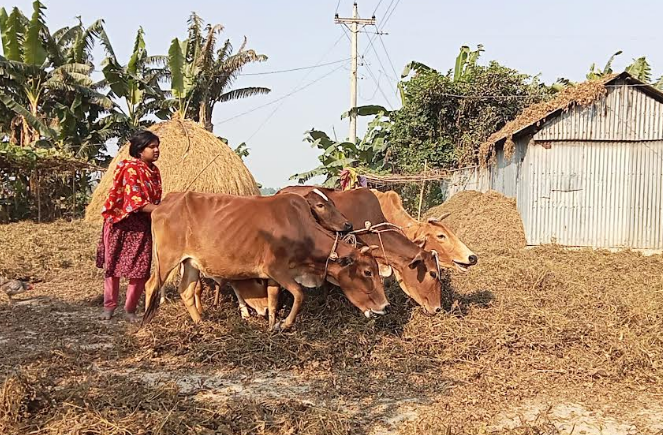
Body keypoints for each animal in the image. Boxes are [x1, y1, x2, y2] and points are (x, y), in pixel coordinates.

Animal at [141, 191, 390, 330]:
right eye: (368, 272)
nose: (384, 307)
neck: (301, 228)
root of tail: (165, 203)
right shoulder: (276, 269)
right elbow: (299, 294)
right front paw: (284, 324)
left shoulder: (273, 277)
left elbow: (272, 298)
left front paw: (271, 325)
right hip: (167, 258)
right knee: (151, 284)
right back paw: (144, 323)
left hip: (191, 262)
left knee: (187, 290)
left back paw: (201, 323)